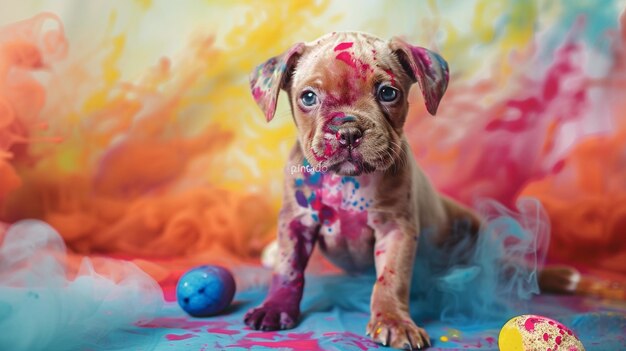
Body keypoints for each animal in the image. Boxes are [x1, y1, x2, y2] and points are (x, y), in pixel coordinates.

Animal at [244, 31, 478, 350]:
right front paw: (275, 308)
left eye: (388, 93)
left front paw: (393, 321)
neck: (346, 181)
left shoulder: (395, 229)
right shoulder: (296, 222)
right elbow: (288, 269)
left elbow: (391, 278)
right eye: (308, 97)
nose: (348, 130)